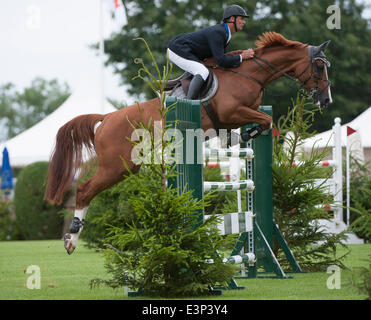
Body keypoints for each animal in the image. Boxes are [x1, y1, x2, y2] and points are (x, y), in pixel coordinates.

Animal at [44, 31, 334, 252]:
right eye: (319, 66)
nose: (326, 100)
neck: (248, 74)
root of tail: (106, 118)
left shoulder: (234, 117)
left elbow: (262, 122)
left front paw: (237, 138)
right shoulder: (233, 112)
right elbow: (266, 120)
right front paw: (244, 136)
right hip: (117, 167)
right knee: (84, 190)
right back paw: (71, 239)